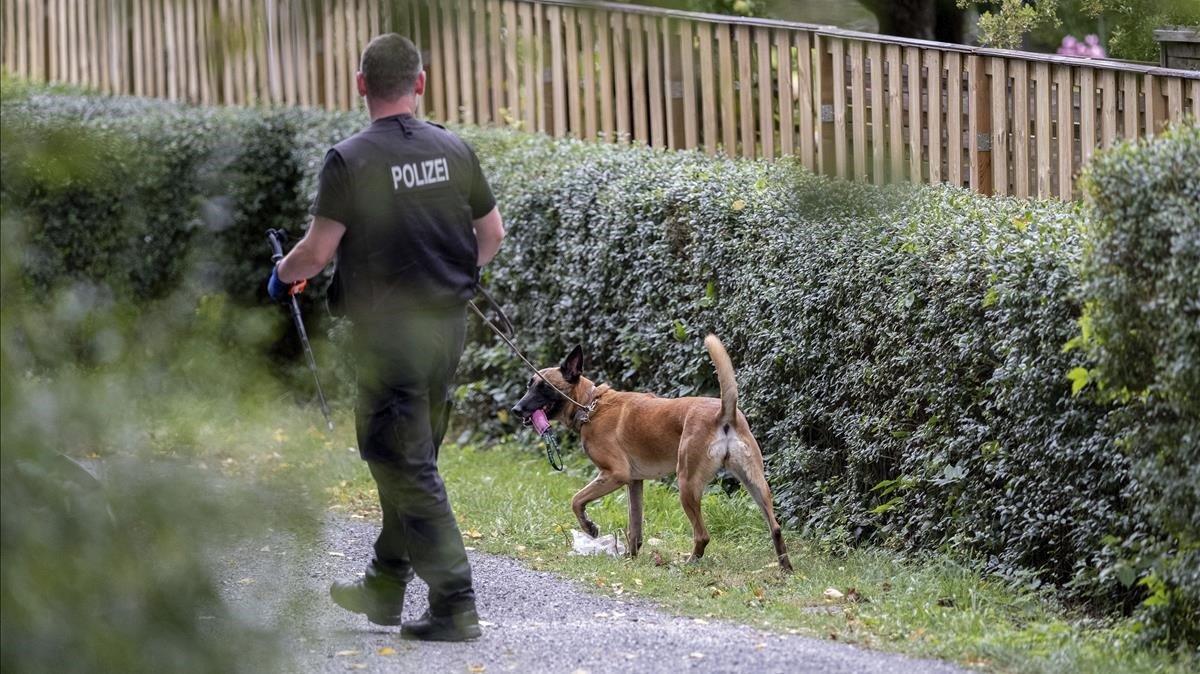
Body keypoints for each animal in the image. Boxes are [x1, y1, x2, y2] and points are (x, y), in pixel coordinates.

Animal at [511, 333, 792, 568]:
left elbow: (576, 500)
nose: (515, 409)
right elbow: (635, 527)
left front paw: (590, 528)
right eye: (528, 385)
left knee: (702, 535)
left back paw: (689, 563)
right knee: (775, 527)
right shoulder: (634, 482)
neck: (591, 405)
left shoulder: (615, 475)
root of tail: (724, 413)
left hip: (686, 483)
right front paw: (630, 556)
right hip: (755, 482)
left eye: (544, 387)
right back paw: (785, 569)